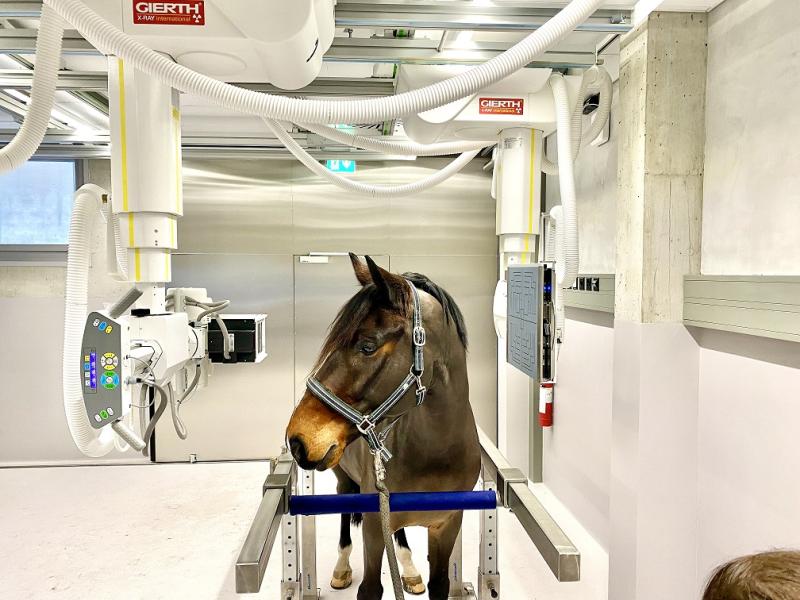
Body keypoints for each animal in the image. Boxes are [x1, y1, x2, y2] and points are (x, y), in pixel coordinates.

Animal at [288, 253, 482, 600]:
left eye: (367, 346)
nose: (297, 439)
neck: (437, 452)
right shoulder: (373, 527)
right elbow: (370, 587)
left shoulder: (447, 526)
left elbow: (440, 583)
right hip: (343, 481)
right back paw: (341, 568)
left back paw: (409, 570)